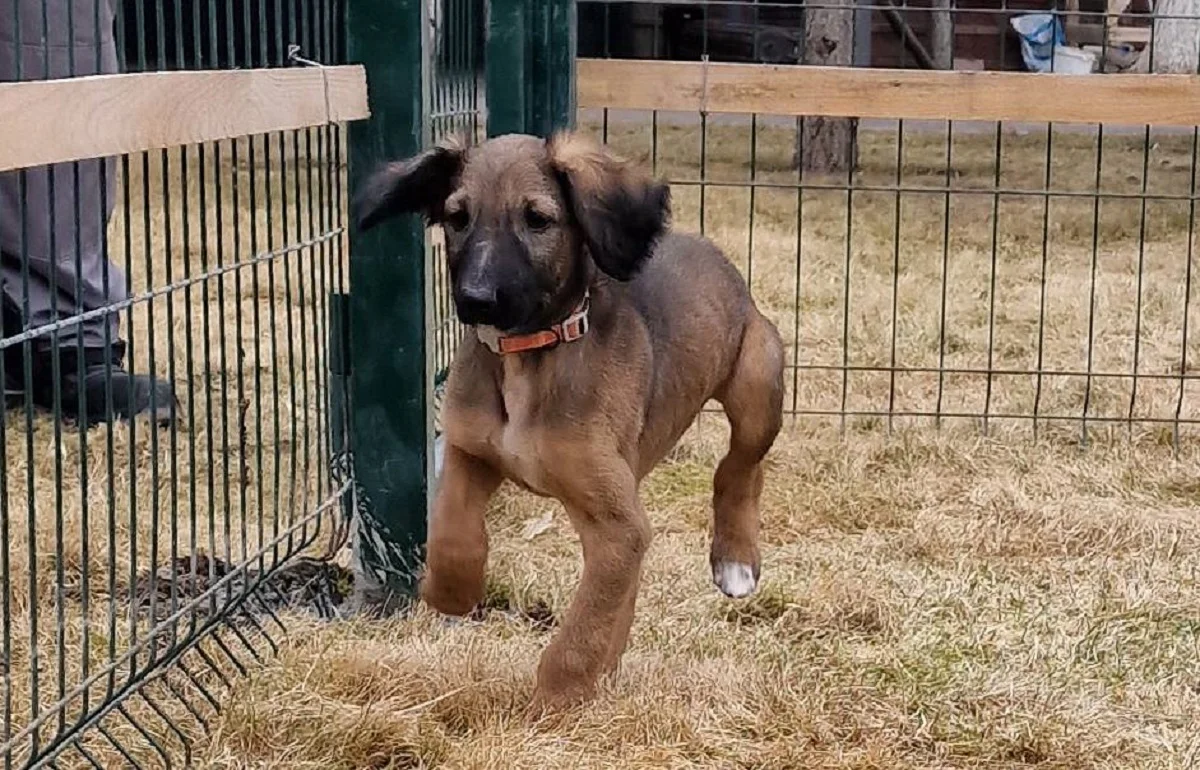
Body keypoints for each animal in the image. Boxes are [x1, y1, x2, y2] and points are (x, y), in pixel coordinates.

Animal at [352, 130, 787, 710]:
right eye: (457, 217)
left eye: (538, 219)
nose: (476, 299)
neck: (528, 353)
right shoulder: (470, 451)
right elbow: (452, 528)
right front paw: (451, 592)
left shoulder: (616, 523)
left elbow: (582, 631)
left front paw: (556, 702)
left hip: (756, 384)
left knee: (740, 467)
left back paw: (734, 560)